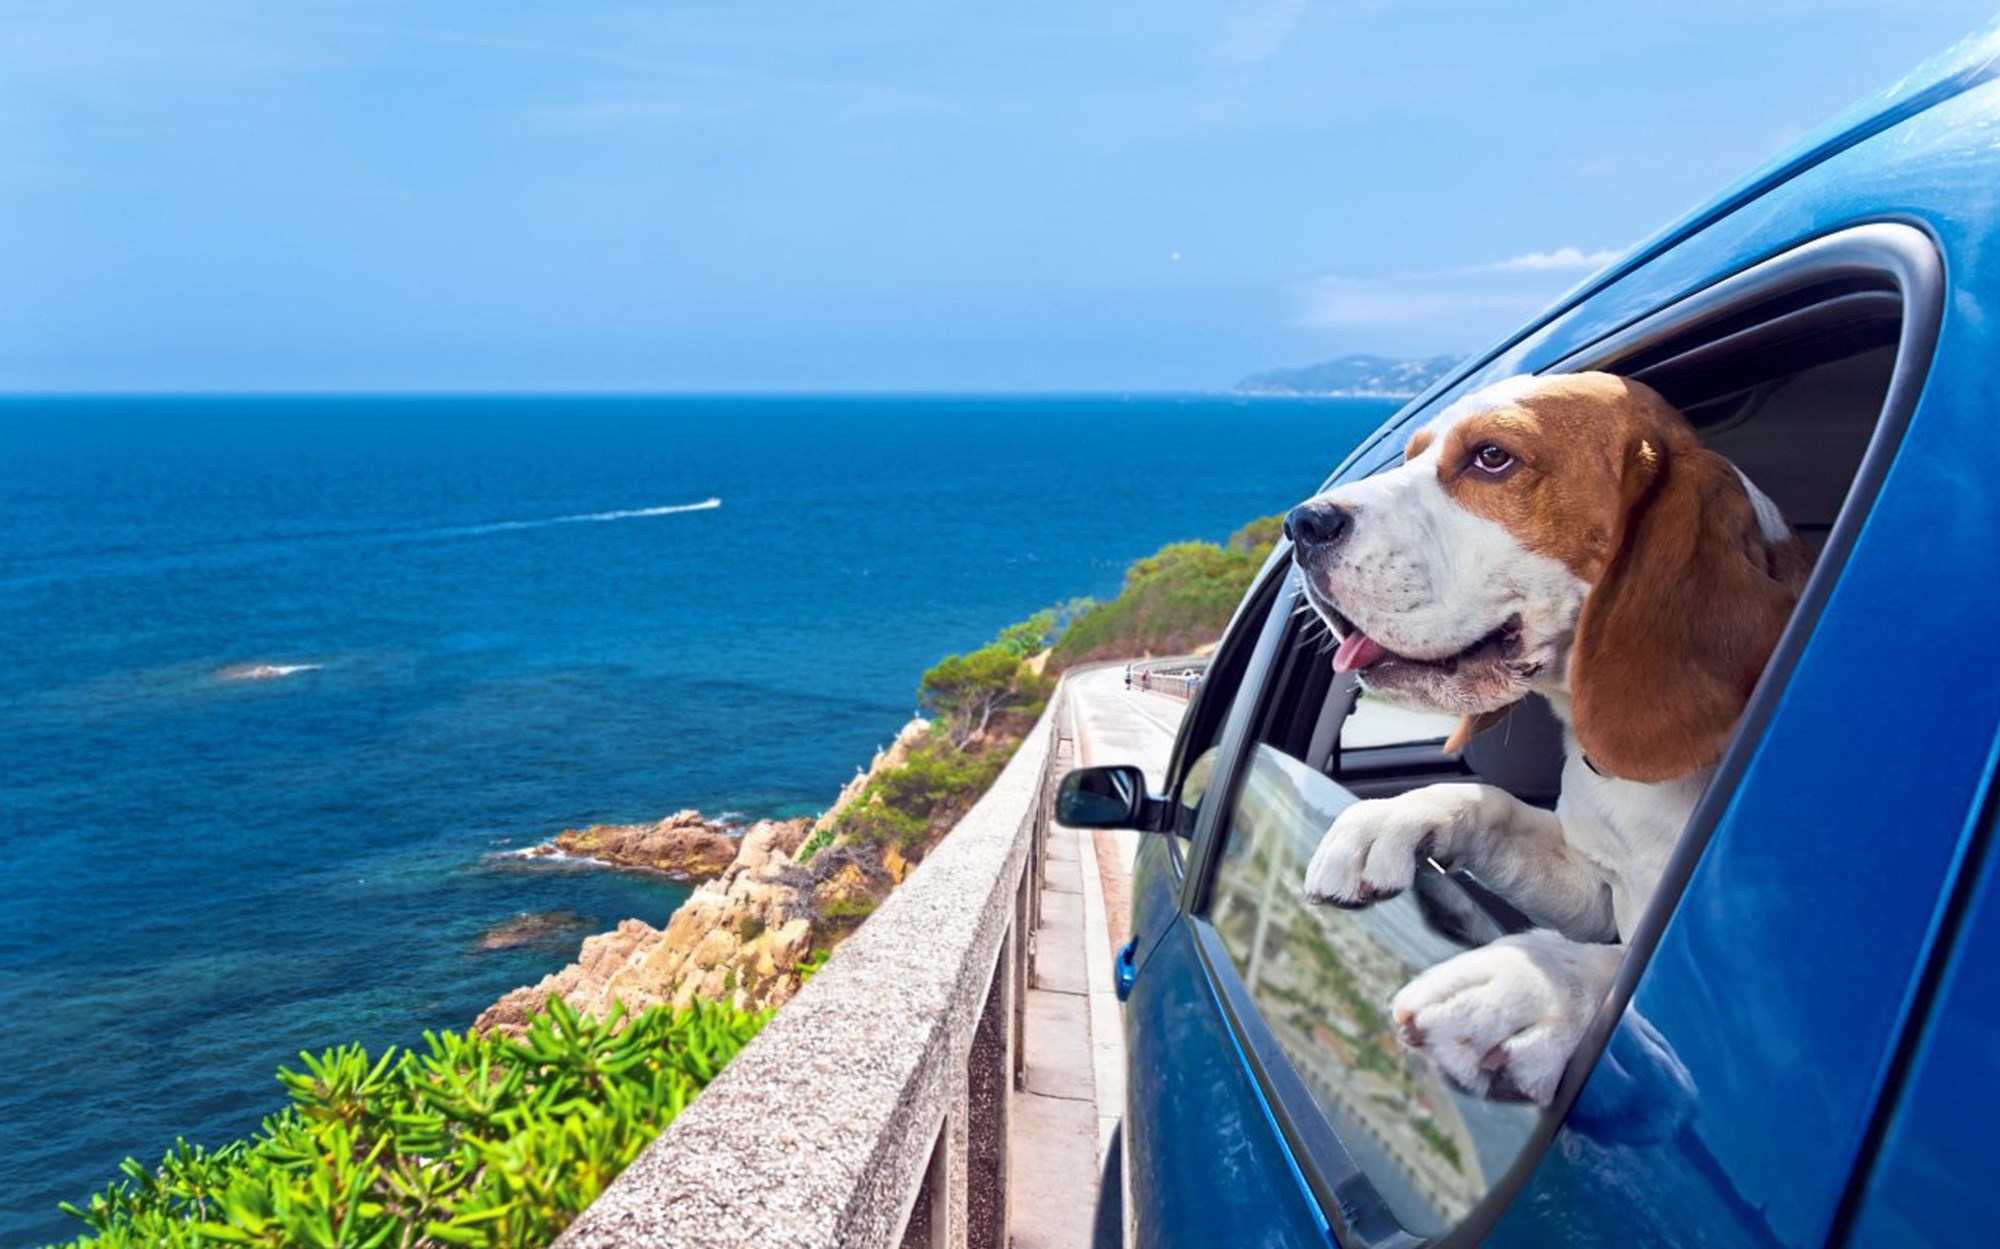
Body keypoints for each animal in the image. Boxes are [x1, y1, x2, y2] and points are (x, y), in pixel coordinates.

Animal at [1288, 370, 1808, 1104]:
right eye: (1413, 454)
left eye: (1492, 457)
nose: (1301, 524)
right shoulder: (1592, 888)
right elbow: (1489, 803)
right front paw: (1387, 819)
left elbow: (1620, 973)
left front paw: (1534, 985)